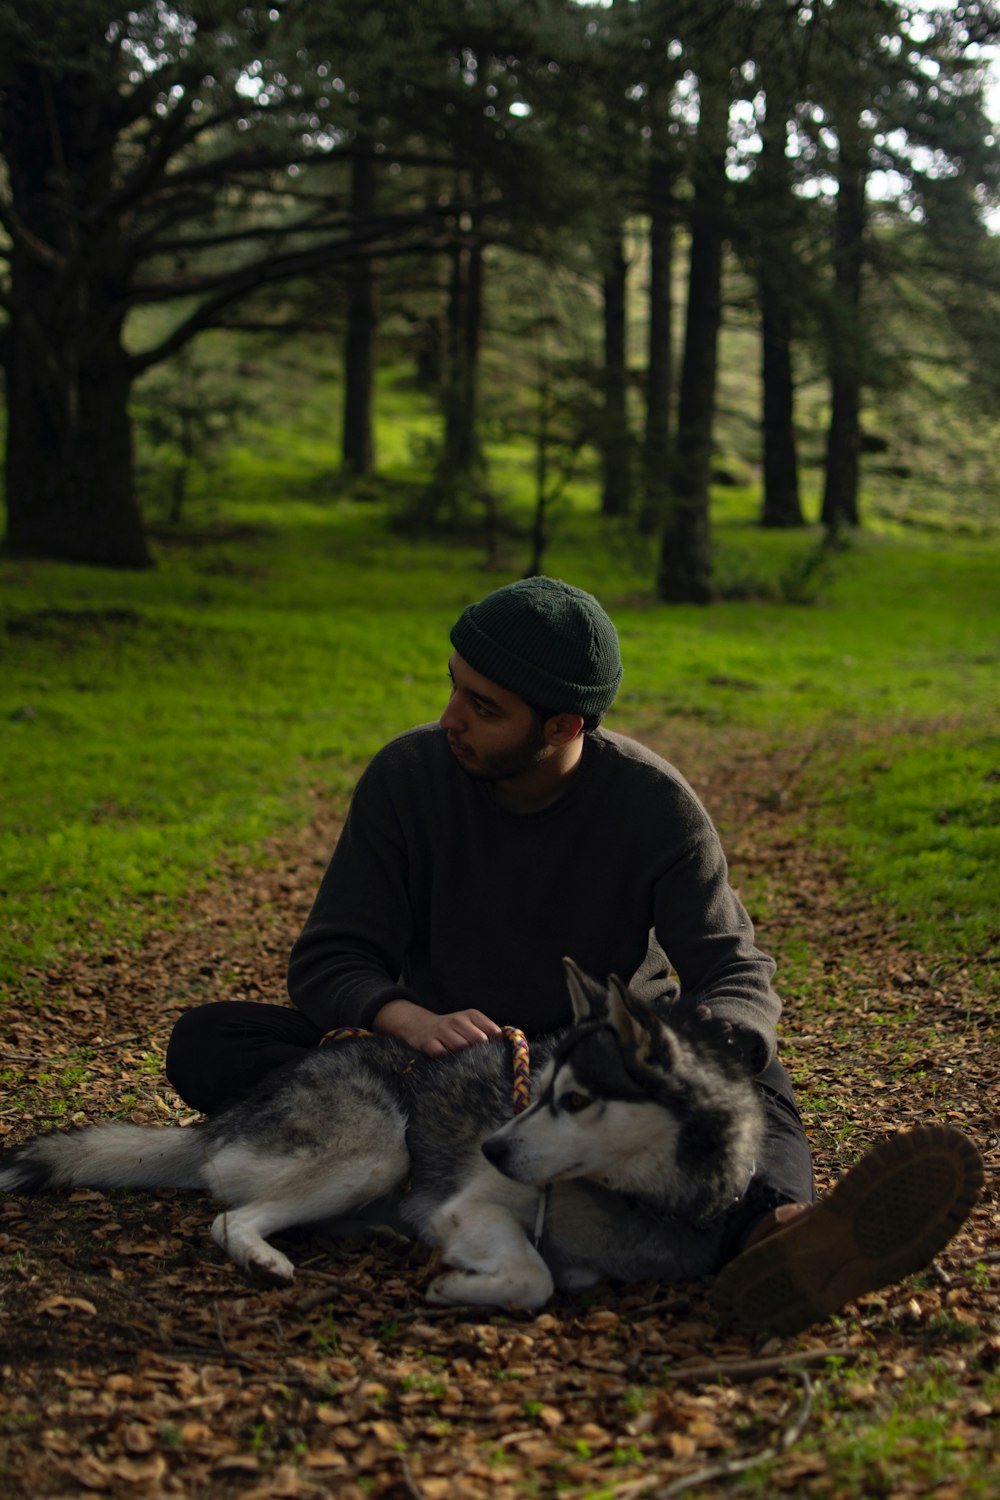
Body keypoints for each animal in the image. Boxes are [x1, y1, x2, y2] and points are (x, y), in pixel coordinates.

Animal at [1, 966, 767, 1308]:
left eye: (575, 1100)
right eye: (543, 1090)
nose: (491, 1149)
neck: (639, 1194)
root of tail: (226, 1118)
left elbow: (557, 1272)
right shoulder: (468, 1205)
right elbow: (535, 1278)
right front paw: (457, 1286)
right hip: (378, 1152)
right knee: (230, 1218)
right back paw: (266, 1258)